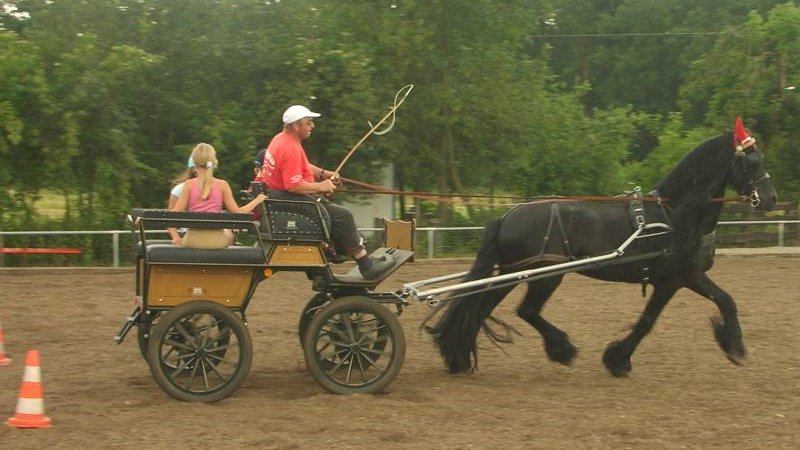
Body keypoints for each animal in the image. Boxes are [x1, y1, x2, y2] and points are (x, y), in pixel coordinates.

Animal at [428, 119, 780, 376]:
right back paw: (561, 349)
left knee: (480, 306)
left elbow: (727, 301)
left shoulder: (690, 275)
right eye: (751, 160)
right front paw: (618, 359)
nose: (771, 198)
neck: (674, 215)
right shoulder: (669, 280)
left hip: (516, 273)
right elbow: (647, 321)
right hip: (543, 275)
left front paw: (734, 347)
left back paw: (458, 356)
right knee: (523, 310)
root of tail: (506, 215)